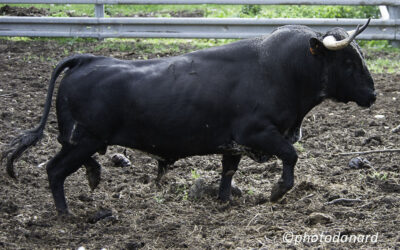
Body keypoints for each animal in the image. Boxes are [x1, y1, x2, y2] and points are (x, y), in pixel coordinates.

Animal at [1, 21, 376, 214]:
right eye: (348, 61)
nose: (373, 95)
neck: (280, 70)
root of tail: (87, 59)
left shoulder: (234, 145)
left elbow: (228, 172)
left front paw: (225, 199)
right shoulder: (258, 133)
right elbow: (291, 155)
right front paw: (277, 191)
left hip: (81, 141)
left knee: (72, 164)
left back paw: (93, 176)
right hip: (83, 140)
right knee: (54, 170)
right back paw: (67, 213)